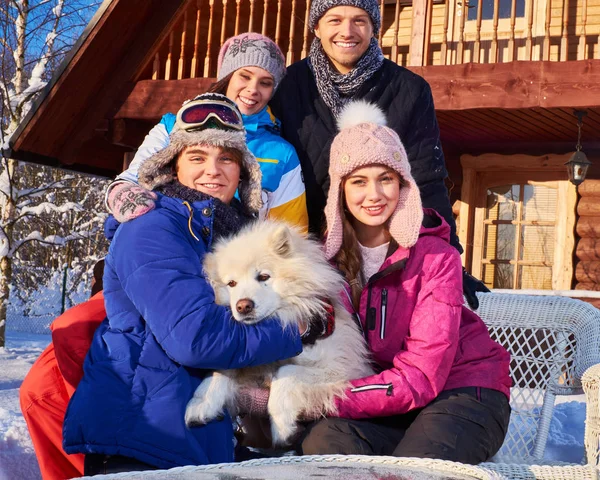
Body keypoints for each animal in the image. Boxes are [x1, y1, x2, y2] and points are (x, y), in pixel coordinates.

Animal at [185, 221, 372, 446]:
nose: (243, 306)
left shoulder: (341, 368)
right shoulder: (251, 355)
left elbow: (286, 372)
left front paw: (282, 425)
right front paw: (202, 401)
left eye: (264, 276)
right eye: (231, 284)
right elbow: (222, 368)